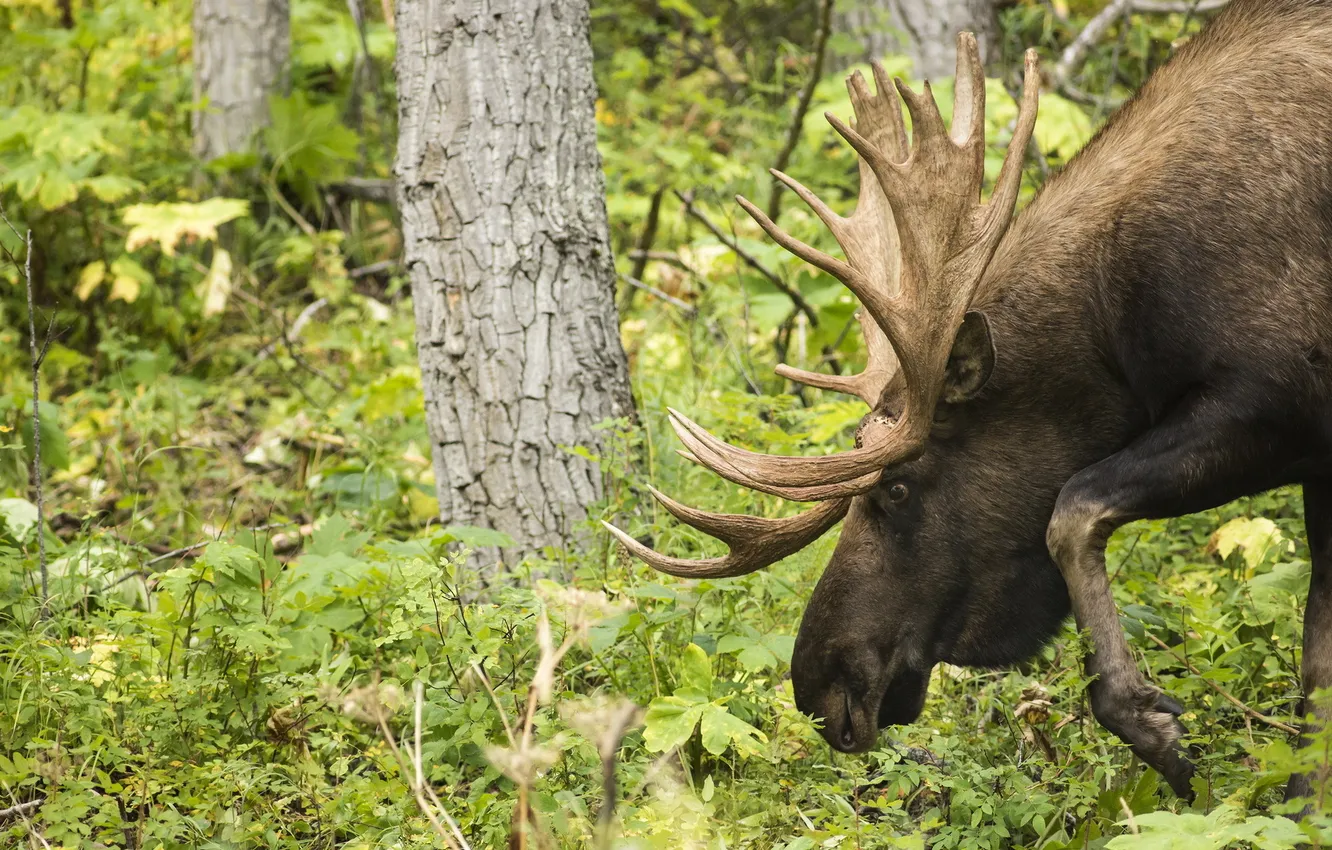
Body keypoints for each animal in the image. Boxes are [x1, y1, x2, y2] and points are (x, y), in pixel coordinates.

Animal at [603, 0, 1332, 801]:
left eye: (895, 487)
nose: (820, 685)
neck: (1121, 320)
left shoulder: (1278, 401)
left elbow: (1072, 508)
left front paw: (1156, 728)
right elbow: (1317, 666)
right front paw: (1297, 804)